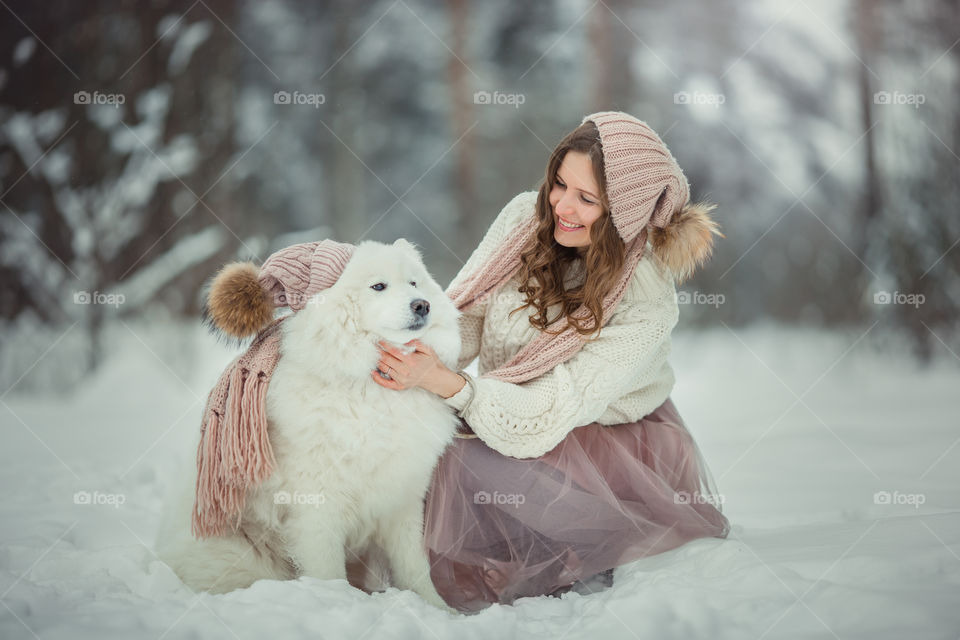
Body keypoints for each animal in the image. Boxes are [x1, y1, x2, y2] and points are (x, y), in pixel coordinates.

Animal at [157, 238, 462, 608]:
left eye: (414, 283)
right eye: (379, 286)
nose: (422, 305)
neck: (365, 383)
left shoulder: (402, 498)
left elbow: (414, 565)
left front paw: (438, 609)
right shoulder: (317, 507)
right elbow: (327, 570)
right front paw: (334, 601)